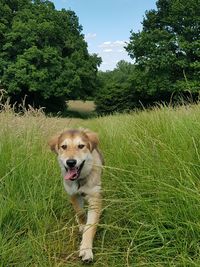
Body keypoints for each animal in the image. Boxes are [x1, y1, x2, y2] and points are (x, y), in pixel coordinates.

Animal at [48, 129, 103, 262]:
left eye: (81, 146)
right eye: (64, 147)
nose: (71, 162)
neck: (80, 180)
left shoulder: (95, 197)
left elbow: (90, 226)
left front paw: (86, 249)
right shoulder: (72, 194)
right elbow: (80, 212)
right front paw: (82, 224)